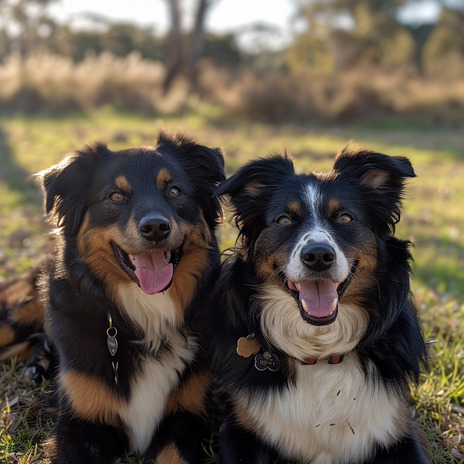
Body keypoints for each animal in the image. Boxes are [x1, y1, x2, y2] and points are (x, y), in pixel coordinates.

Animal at [32, 131, 223, 464]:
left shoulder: (185, 417)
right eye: (115, 196)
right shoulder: (81, 422)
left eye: (174, 191)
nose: (156, 227)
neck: (146, 313)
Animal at [212, 145, 430, 464]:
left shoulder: (398, 431)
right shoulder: (239, 430)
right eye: (284, 220)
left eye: (345, 218)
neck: (320, 352)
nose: (317, 256)